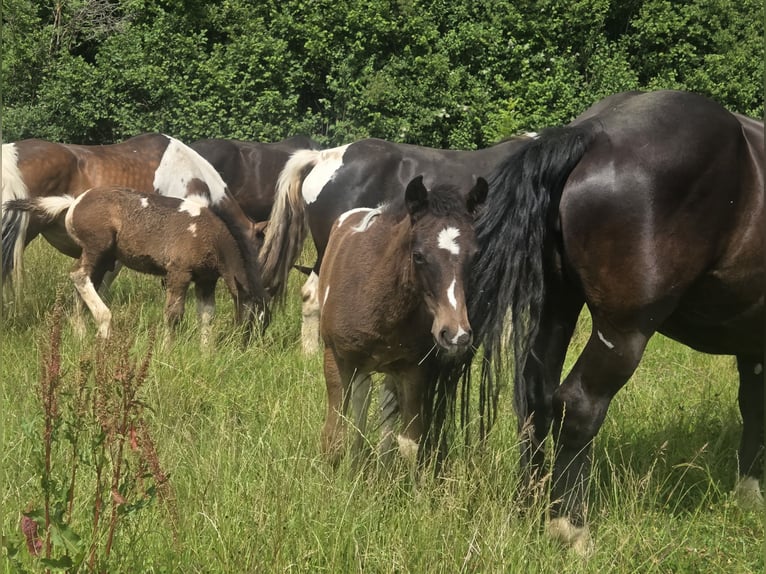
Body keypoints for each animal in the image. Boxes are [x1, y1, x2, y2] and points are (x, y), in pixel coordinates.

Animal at [4, 186, 269, 344]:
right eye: (252, 316)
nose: (247, 343)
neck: (209, 235)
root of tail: (75, 202)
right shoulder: (179, 273)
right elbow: (173, 314)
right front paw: (166, 350)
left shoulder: (206, 280)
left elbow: (206, 317)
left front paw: (207, 355)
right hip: (97, 248)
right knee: (78, 276)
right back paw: (105, 326)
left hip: (104, 259)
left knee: (83, 283)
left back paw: (81, 333)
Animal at [319, 175, 487, 470]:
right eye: (418, 255)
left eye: (475, 256)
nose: (456, 334)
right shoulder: (335, 358)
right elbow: (334, 438)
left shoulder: (413, 368)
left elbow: (410, 442)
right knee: (362, 399)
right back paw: (358, 459)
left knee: (384, 404)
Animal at [467, 90, 764, 554]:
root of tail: (594, 132)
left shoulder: (751, 344)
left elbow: (753, 407)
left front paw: (748, 493)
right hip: (623, 333)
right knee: (578, 405)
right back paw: (570, 527)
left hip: (556, 309)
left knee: (536, 399)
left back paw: (529, 508)